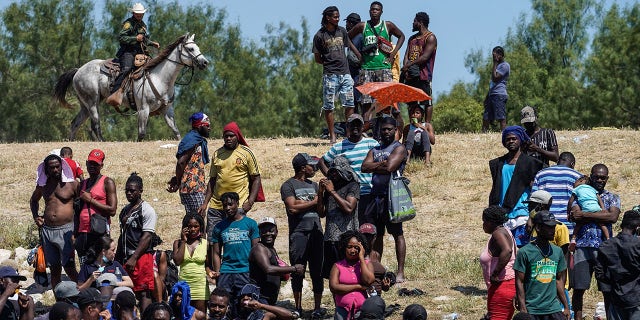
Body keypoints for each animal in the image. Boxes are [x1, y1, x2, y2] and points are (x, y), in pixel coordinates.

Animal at [54, 33, 209, 141]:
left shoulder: (167, 110)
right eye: (190, 48)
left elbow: (176, 132)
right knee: (95, 125)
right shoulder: (143, 109)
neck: (160, 78)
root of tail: (78, 70)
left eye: (198, 47)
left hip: (85, 105)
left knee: (75, 123)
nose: (205, 62)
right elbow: (141, 134)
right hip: (92, 102)